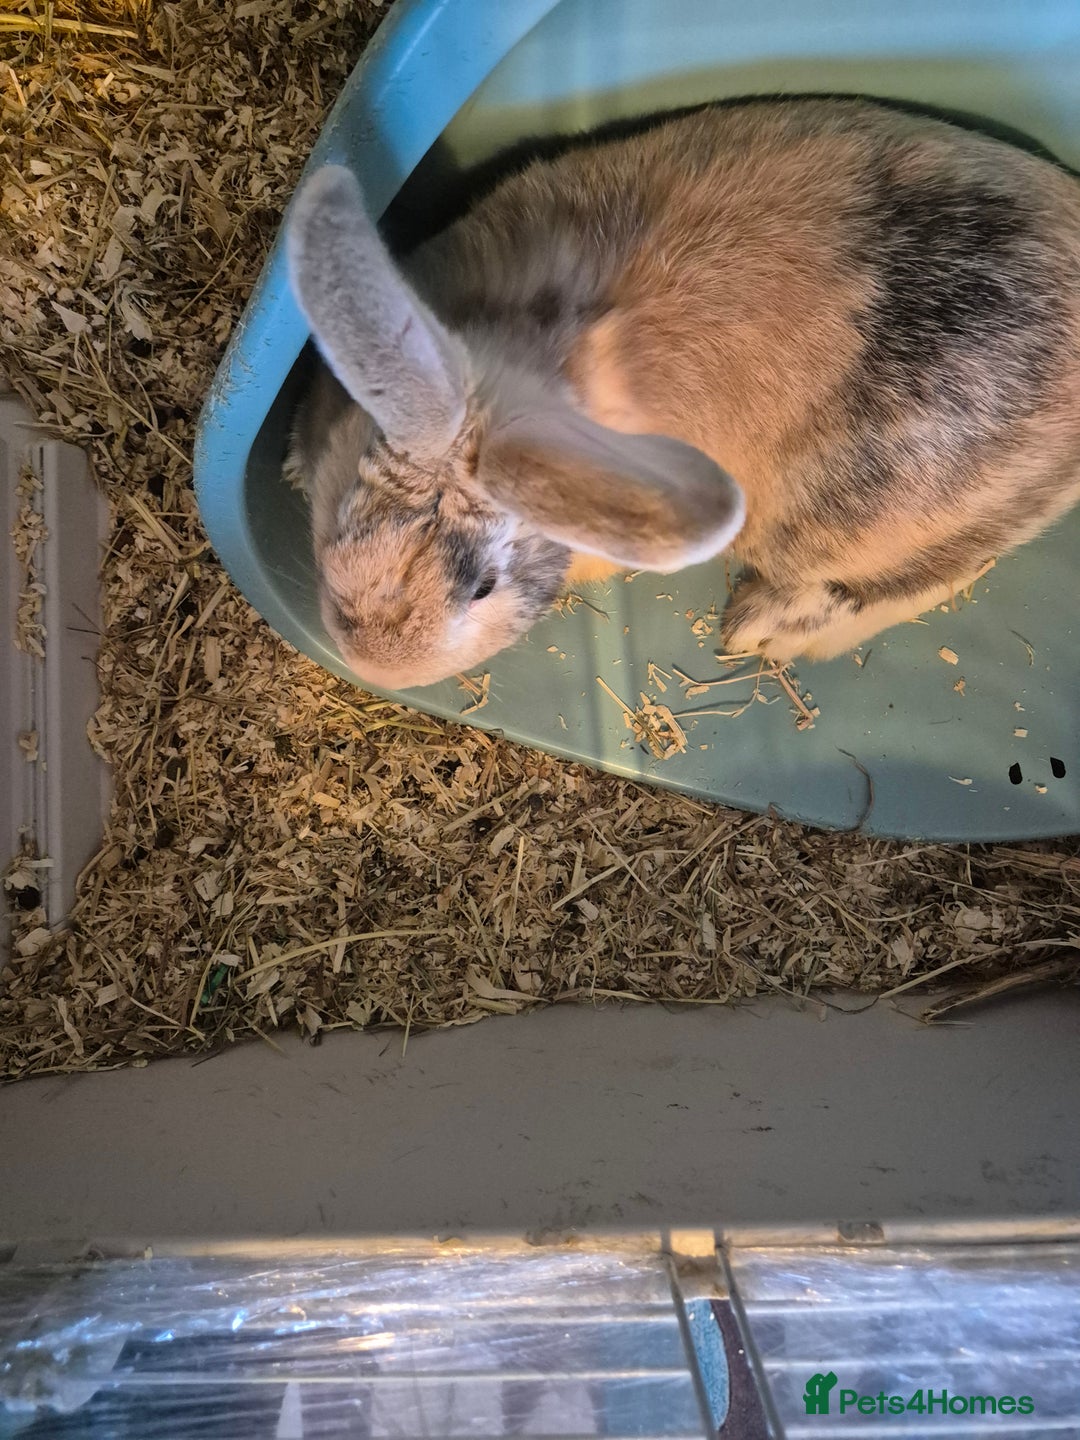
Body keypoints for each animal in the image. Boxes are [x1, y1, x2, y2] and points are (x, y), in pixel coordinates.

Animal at [285, 96, 1080, 691]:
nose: (378, 663)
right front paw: (294, 463)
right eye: (346, 522)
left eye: (483, 587)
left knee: (914, 578)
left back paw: (759, 630)